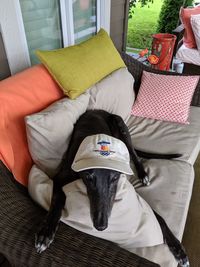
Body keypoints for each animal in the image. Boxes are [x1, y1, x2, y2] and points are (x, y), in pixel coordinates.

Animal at [34, 110, 189, 266]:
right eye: (88, 177)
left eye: (115, 178)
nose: (100, 226)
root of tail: (97, 111)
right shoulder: (61, 176)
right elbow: (58, 198)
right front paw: (46, 232)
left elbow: (159, 217)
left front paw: (178, 249)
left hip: (121, 127)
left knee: (134, 154)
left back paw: (143, 173)